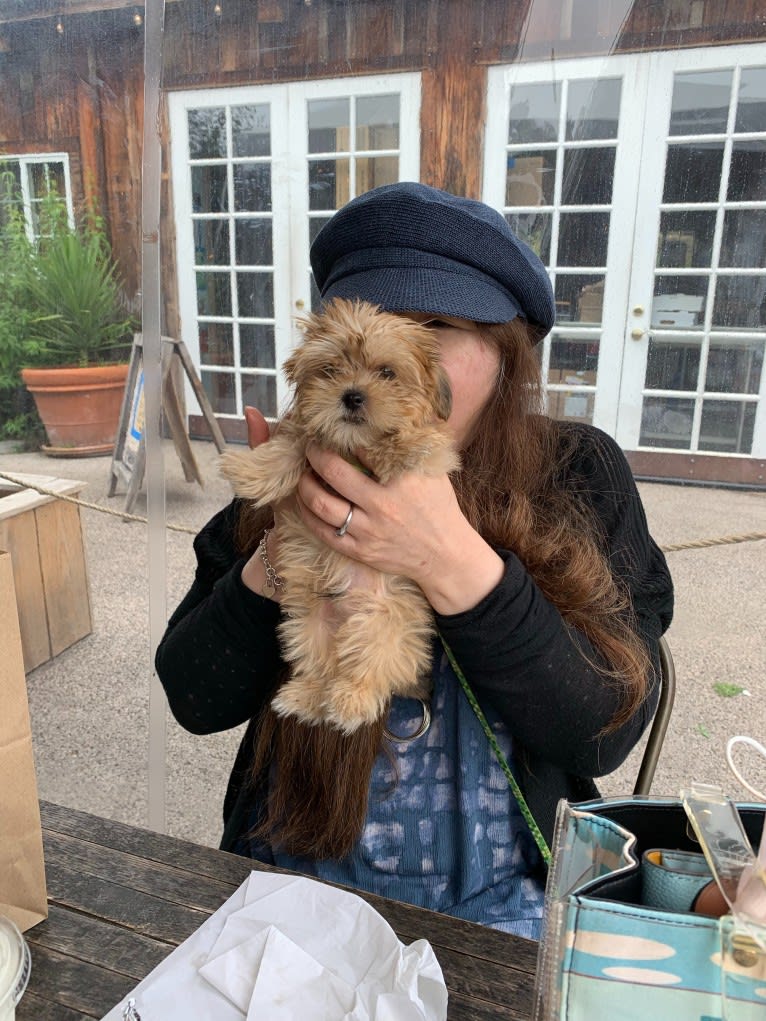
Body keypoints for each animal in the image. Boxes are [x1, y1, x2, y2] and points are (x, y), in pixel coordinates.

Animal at [221, 296, 461, 735]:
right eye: (330, 369)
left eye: (387, 373)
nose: (352, 396)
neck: (350, 448)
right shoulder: (309, 436)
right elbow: (292, 445)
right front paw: (250, 471)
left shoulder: (435, 457)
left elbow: (416, 443)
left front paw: (398, 444)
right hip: (309, 624)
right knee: (321, 667)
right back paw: (307, 696)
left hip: (386, 622)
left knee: (370, 669)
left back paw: (352, 701)